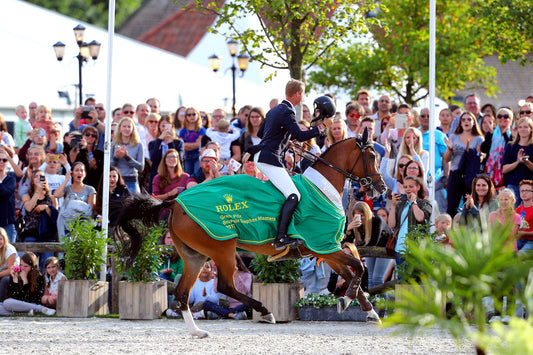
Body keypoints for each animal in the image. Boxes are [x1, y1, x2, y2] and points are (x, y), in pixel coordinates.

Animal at [114, 129, 384, 338]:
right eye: (371, 156)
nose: (381, 187)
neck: (323, 187)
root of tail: (176, 202)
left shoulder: (326, 249)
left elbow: (352, 274)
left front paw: (368, 311)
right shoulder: (325, 246)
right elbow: (358, 269)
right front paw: (346, 301)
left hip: (195, 255)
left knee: (182, 293)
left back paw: (197, 332)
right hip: (222, 248)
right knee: (224, 286)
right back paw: (265, 311)